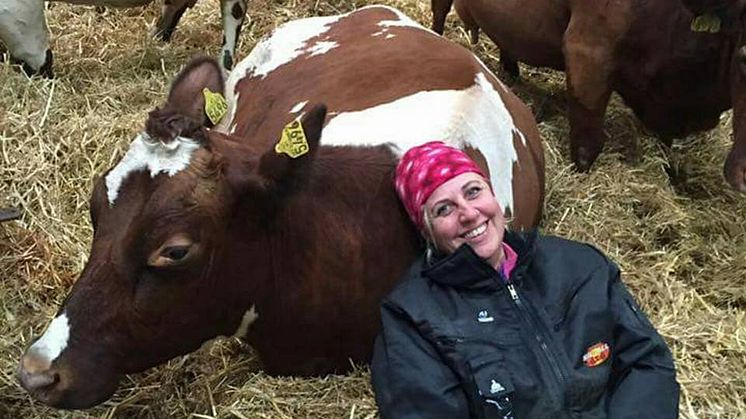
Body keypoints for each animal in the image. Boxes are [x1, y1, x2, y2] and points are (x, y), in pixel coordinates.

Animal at [430, 0, 744, 192]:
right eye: (743, 58)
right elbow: (587, 140)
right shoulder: (587, 50)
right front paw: (581, 177)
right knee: (439, 14)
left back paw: (511, 74)